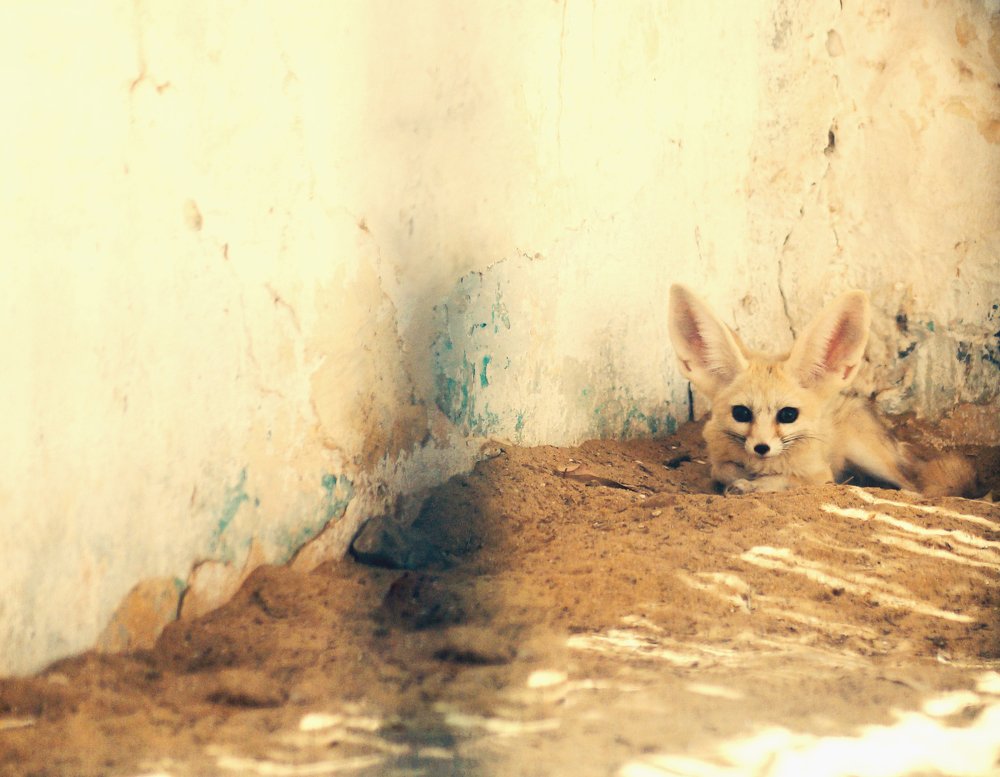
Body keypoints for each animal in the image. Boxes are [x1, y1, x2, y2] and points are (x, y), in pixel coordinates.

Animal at [667, 284, 976, 497]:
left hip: (870, 456)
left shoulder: (820, 476)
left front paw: (755, 484)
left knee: (915, 487)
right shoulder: (719, 460)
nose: (761, 447)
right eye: (741, 413)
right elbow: (725, 470)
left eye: (788, 415)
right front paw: (742, 480)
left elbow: (784, 479)